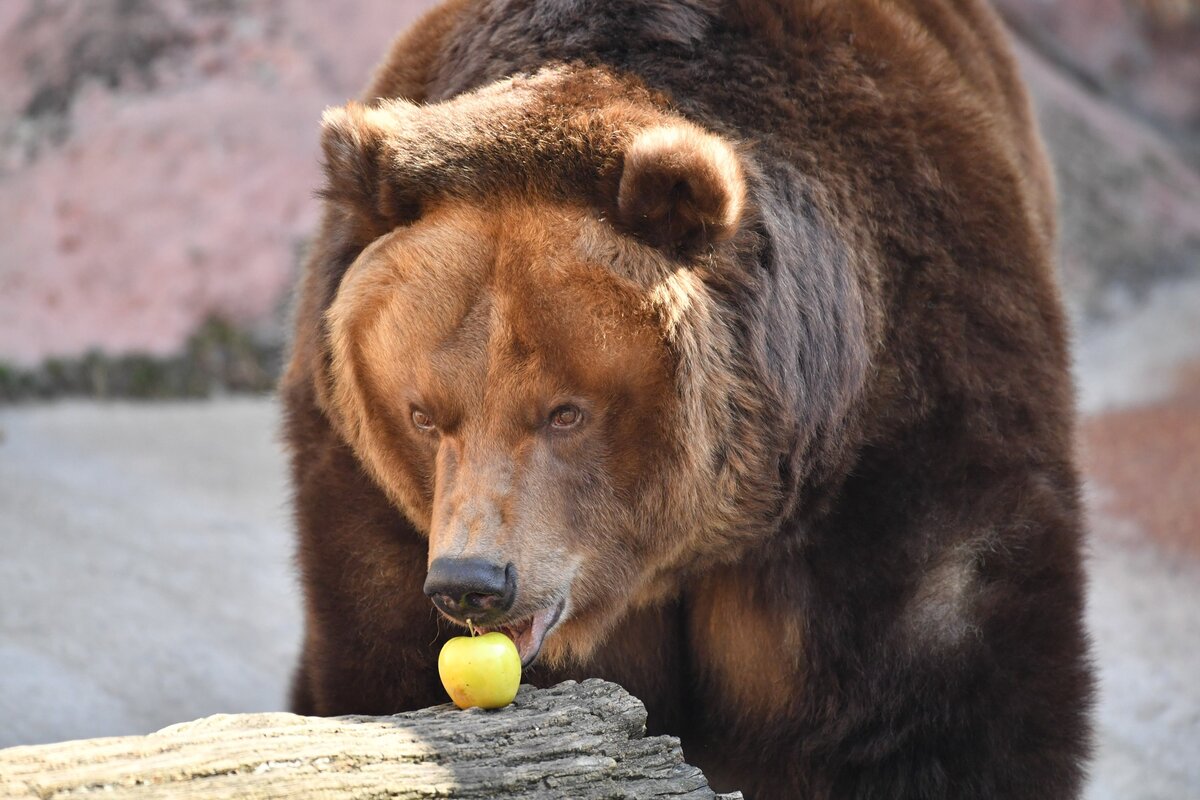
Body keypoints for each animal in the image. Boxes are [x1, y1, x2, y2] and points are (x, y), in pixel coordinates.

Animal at [283, 3, 1099, 796]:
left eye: (565, 411)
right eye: (423, 414)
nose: (473, 584)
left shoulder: (904, 442)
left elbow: (927, 704)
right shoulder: (369, 504)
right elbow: (382, 661)